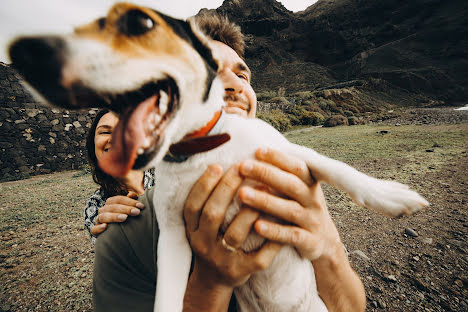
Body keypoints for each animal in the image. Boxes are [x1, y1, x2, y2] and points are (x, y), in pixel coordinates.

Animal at [9, 3, 430, 312]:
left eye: (139, 23)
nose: (28, 55)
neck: (200, 148)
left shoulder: (290, 155)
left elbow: (342, 171)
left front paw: (393, 196)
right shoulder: (174, 237)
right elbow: (167, 295)